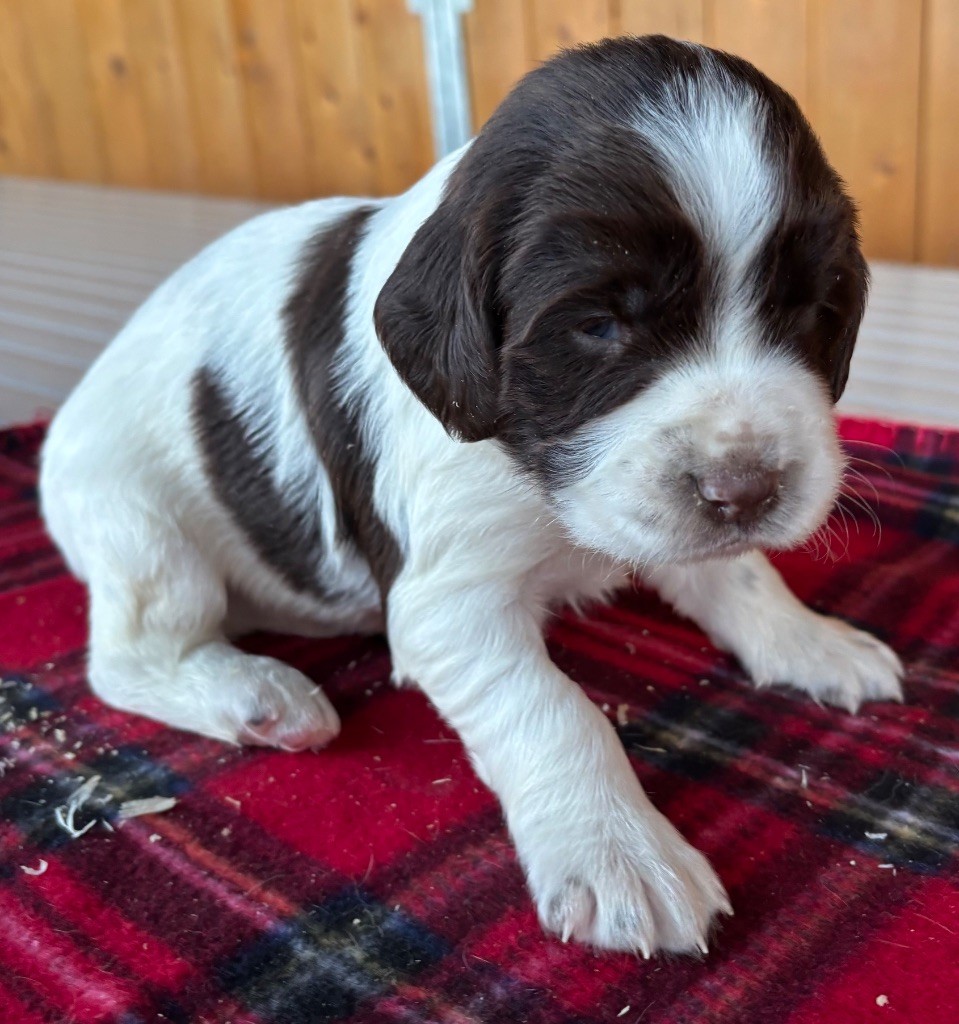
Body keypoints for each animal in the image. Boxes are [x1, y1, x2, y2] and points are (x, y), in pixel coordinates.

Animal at [39, 37, 904, 950]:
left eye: (808, 311)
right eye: (598, 326)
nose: (746, 491)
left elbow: (737, 573)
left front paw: (808, 641)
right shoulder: (449, 600)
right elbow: (550, 707)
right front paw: (618, 852)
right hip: (140, 524)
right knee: (127, 655)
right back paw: (257, 697)